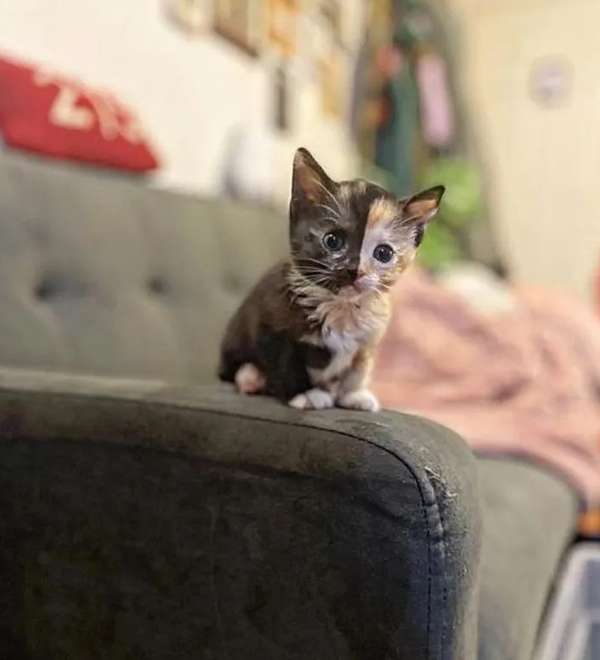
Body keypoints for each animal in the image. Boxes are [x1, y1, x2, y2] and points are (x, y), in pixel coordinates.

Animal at [218, 148, 442, 412]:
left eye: (383, 253)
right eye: (332, 241)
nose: (355, 270)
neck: (341, 307)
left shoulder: (369, 339)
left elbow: (357, 369)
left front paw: (352, 395)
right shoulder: (271, 325)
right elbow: (286, 364)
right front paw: (304, 394)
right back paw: (252, 378)